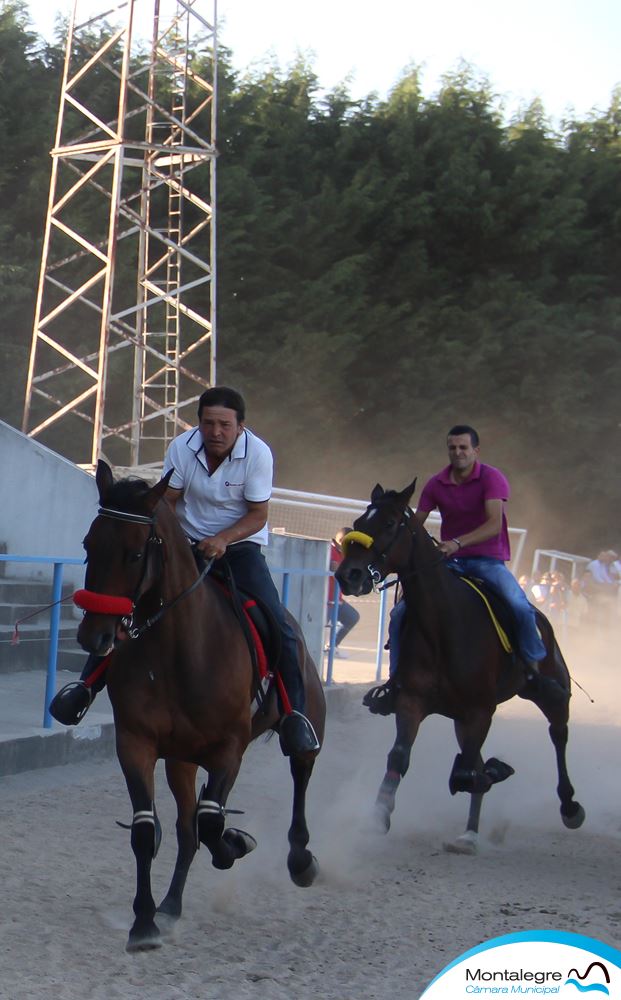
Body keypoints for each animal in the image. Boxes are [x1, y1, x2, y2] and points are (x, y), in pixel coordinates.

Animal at [77, 460, 324, 952]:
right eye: (89, 545)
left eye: (134, 554)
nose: (93, 636)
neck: (178, 651)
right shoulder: (136, 743)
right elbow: (148, 829)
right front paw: (143, 923)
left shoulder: (230, 748)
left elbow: (212, 823)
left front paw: (236, 843)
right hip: (180, 761)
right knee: (187, 831)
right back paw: (171, 906)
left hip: (304, 728)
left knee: (299, 774)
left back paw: (300, 860)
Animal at [334, 482, 580, 852]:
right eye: (359, 520)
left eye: (390, 523)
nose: (348, 574)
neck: (442, 624)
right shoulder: (414, 702)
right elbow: (402, 757)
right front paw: (378, 815)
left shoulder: (480, 709)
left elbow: (467, 772)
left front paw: (495, 771)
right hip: (461, 719)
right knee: (472, 758)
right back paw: (469, 833)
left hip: (549, 689)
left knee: (558, 733)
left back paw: (569, 805)